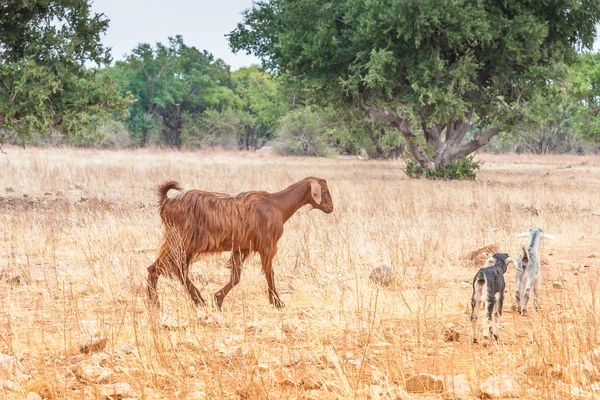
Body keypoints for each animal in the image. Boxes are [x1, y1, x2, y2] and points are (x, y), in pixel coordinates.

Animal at [145, 177, 332, 310]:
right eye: (323, 189)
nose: (331, 208)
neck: (278, 205)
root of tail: (168, 203)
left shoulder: (241, 248)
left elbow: (236, 277)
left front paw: (218, 300)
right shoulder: (267, 245)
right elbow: (270, 273)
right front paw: (277, 302)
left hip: (183, 244)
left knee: (174, 269)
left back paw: (196, 300)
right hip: (181, 241)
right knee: (161, 268)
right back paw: (157, 303)